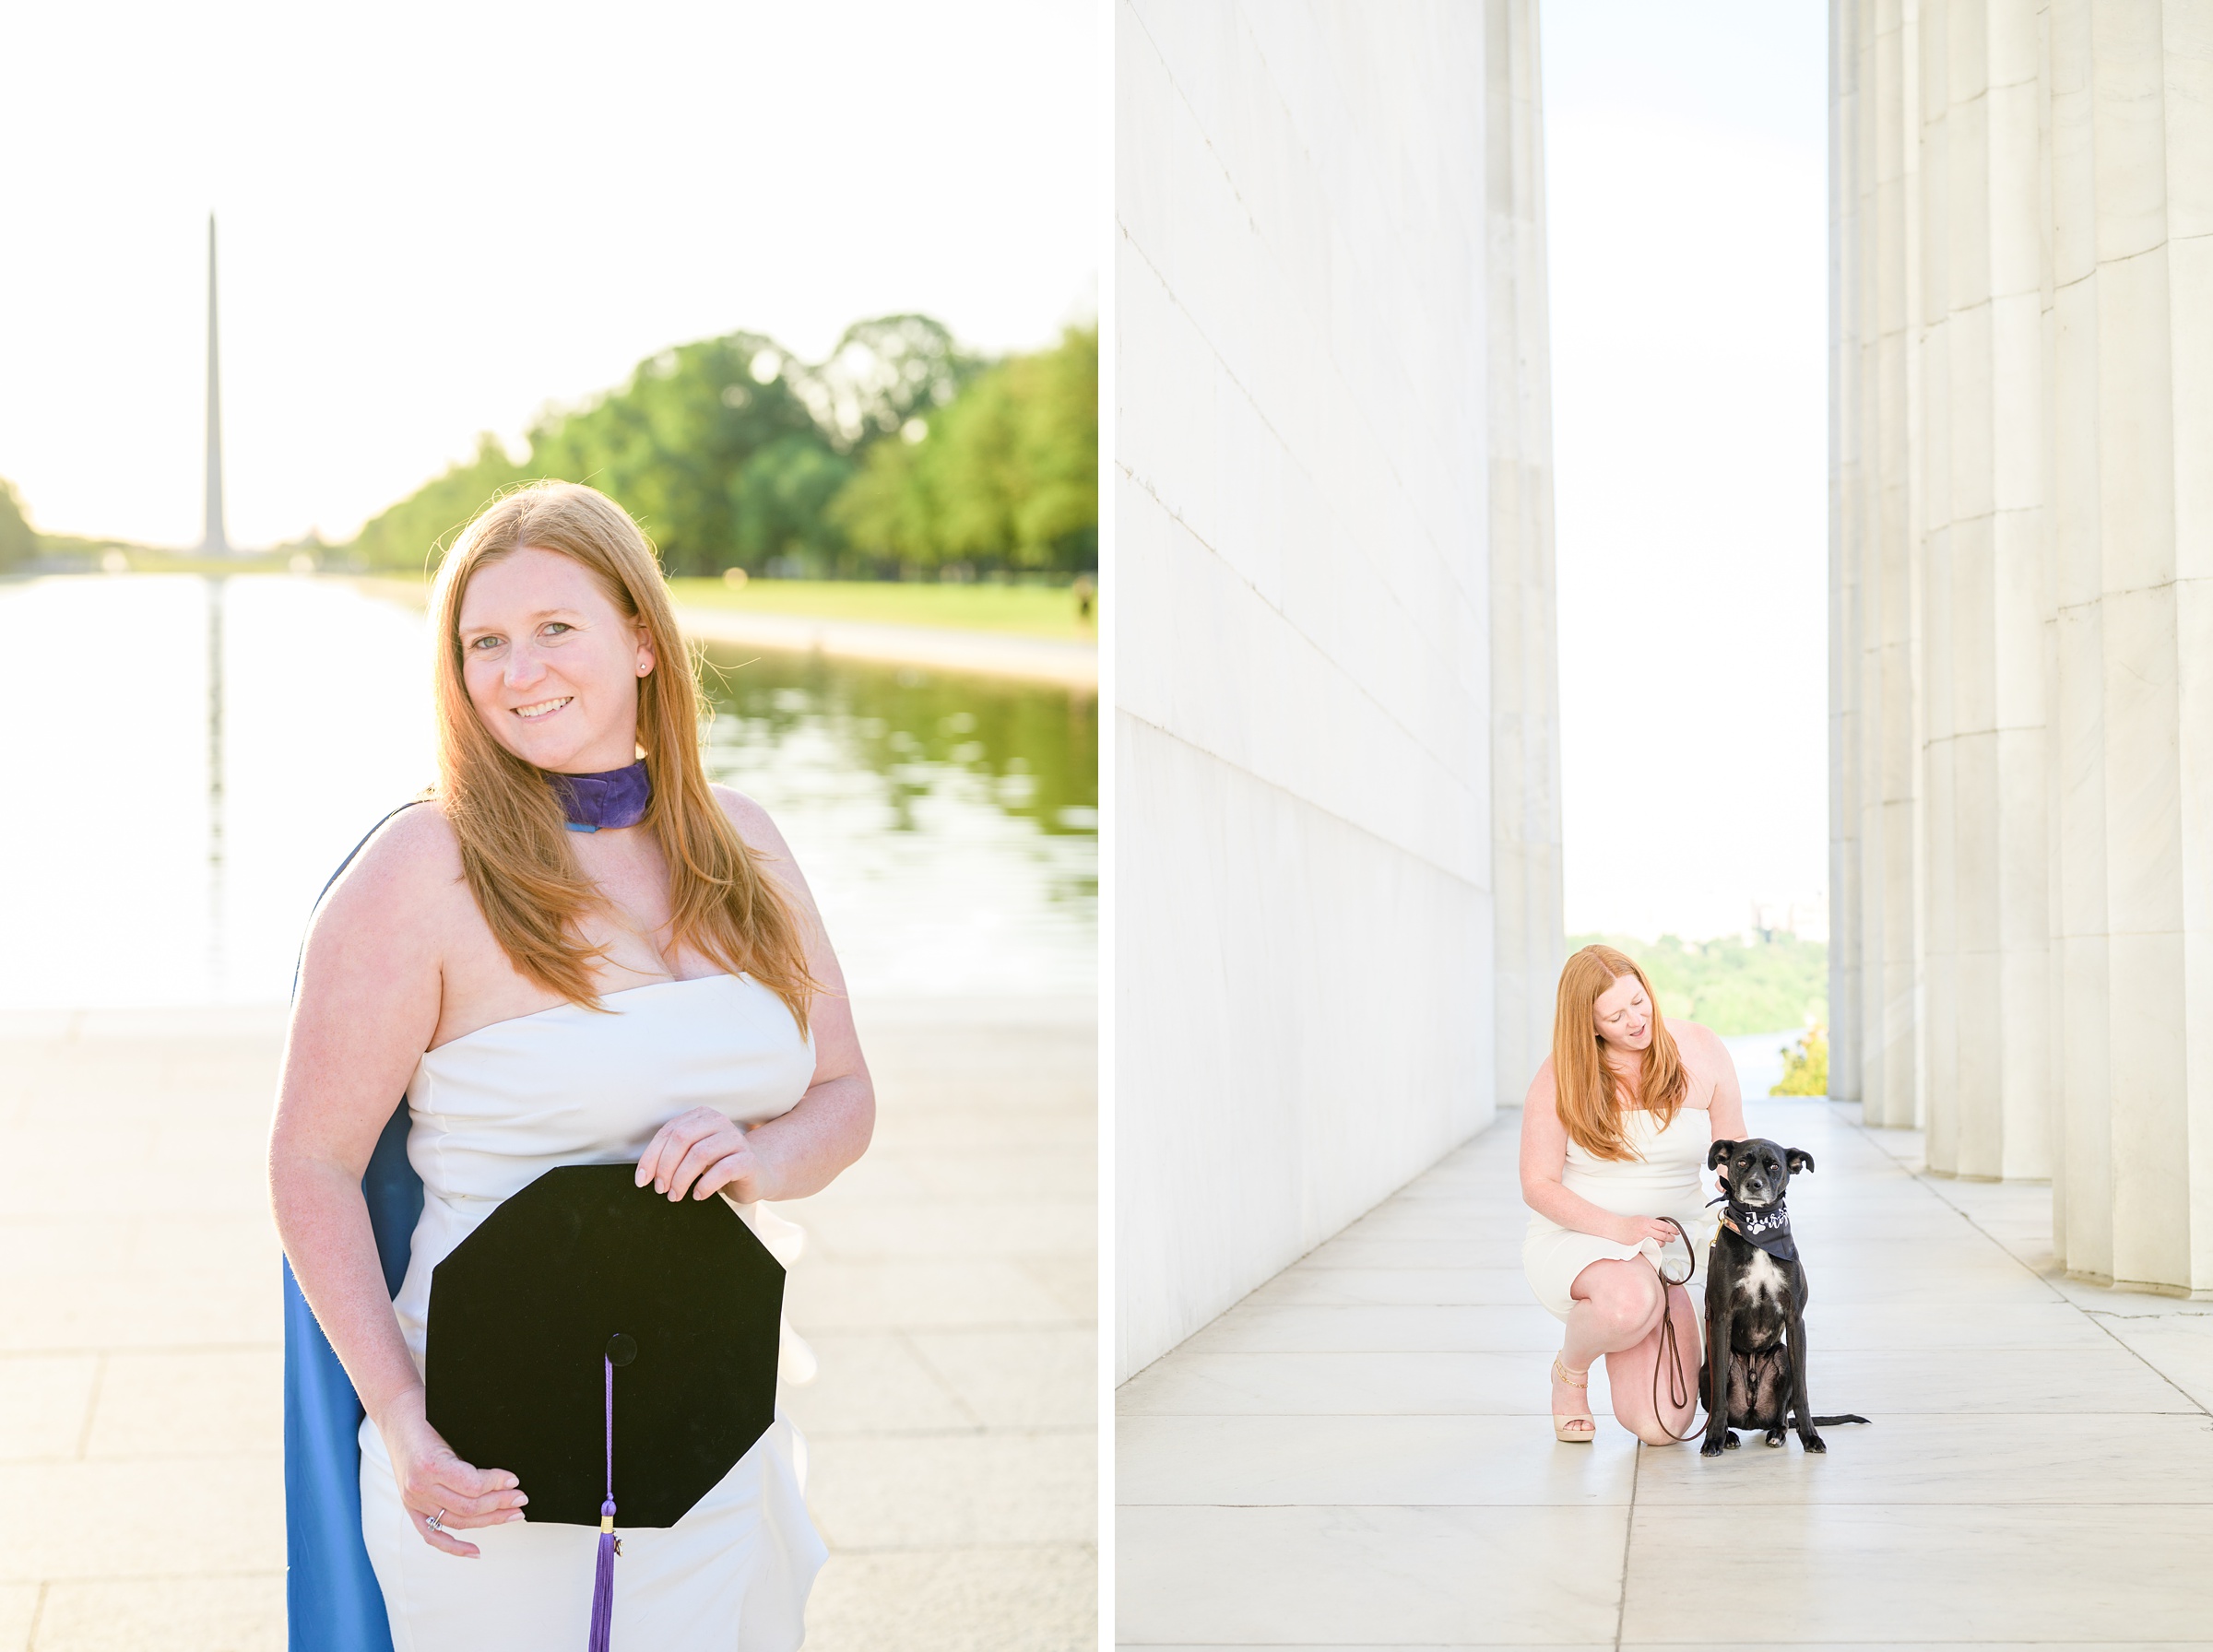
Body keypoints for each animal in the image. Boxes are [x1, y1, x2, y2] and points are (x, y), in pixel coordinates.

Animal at [1690, 1140, 1867, 1459]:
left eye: (1774, 1166)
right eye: (1741, 1163)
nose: (1754, 1184)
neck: (1759, 1232)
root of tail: (1752, 1420)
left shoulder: (1795, 1319)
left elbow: (1803, 1393)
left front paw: (1811, 1437)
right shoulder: (1721, 1317)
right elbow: (1720, 1398)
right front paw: (1713, 1440)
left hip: (1782, 1356)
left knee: (1783, 1416)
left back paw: (1778, 1433)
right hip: (1707, 1369)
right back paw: (1728, 1435)